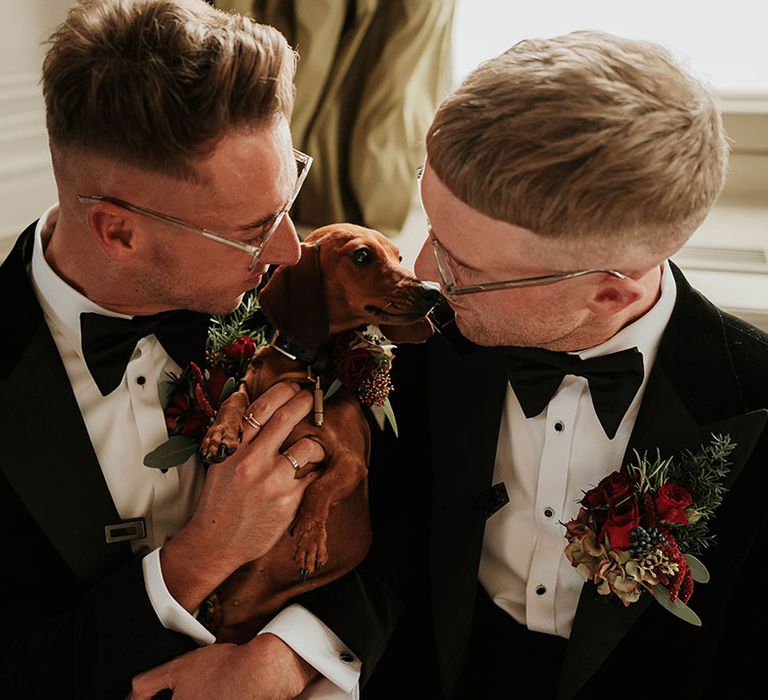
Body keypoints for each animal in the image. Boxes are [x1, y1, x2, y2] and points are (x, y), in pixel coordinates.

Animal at [198, 223, 438, 640]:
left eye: (399, 256)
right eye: (362, 256)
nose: (432, 291)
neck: (306, 367)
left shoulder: (352, 462)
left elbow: (320, 488)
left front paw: (311, 540)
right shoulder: (249, 387)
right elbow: (235, 398)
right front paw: (220, 434)